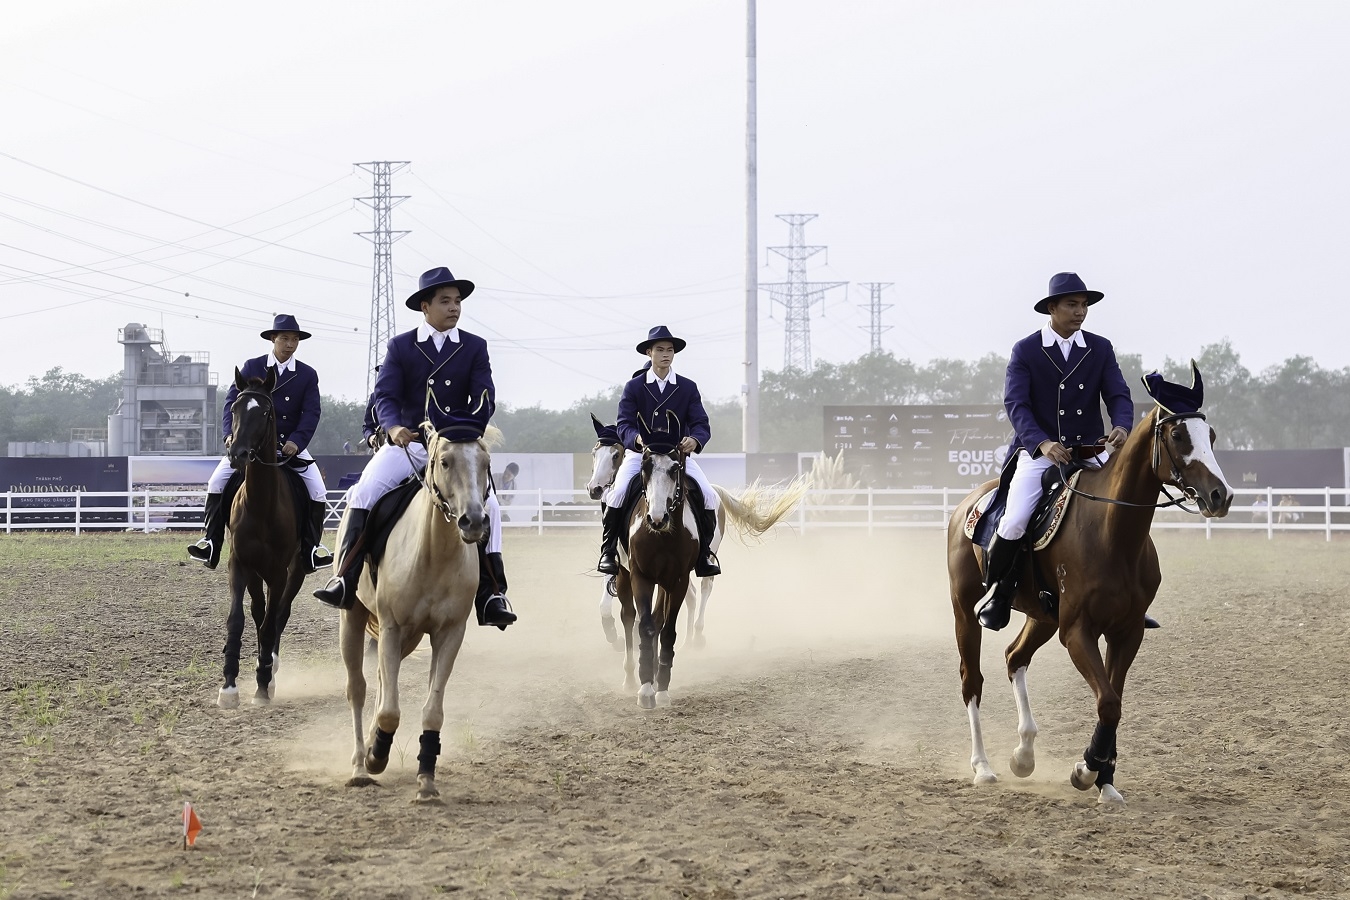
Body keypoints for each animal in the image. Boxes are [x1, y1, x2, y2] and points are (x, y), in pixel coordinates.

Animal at [218, 369, 306, 707]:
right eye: (234, 409)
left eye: (266, 413)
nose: (238, 454)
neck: (261, 505)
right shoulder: (239, 565)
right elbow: (238, 619)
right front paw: (229, 686)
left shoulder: (279, 573)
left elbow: (271, 623)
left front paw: (262, 686)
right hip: (257, 573)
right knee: (259, 612)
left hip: (294, 572)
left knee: (279, 613)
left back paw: (269, 670)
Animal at [340, 423, 499, 804]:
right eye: (445, 461)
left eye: (486, 462)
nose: (474, 522)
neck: (433, 553)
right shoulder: (392, 627)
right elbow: (389, 710)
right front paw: (377, 756)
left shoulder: (449, 634)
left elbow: (432, 710)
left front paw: (426, 778)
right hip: (353, 620)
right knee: (358, 688)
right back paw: (360, 765)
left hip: (405, 638)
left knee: (381, 682)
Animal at [585, 415, 723, 655]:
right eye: (595, 453)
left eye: (616, 455)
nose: (595, 489)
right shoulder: (624, 564)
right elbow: (605, 605)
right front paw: (615, 635)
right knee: (691, 596)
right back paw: (686, 640)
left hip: (705, 559)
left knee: (705, 588)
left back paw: (696, 636)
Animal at [950, 361, 1236, 804]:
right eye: (1177, 434)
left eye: (1212, 436)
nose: (1220, 496)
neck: (1112, 534)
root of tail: (968, 504)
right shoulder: (1078, 632)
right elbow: (1108, 702)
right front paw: (1086, 770)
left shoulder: (1127, 631)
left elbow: (1114, 699)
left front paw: (1106, 780)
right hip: (966, 612)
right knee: (972, 681)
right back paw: (983, 767)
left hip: (1042, 618)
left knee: (1015, 657)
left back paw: (1024, 755)